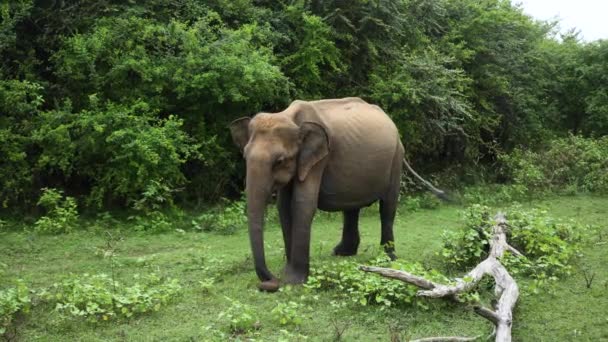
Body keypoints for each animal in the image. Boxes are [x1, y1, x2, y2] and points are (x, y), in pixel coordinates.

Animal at [229, 97, 446, 292]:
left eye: (279, 161)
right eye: (245, 156)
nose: (269, 283)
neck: (289, 117)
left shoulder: (317, 160)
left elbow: (302, 204)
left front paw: (293, 281)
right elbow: (284, 208)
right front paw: (287, 273)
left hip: (396, 158)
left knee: (388, 207)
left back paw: (388, 259)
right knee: (352, 208)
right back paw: (343, 253)